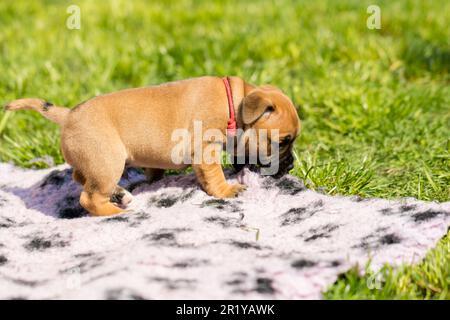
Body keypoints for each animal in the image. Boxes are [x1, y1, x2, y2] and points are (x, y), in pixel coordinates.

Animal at [5, 76, 300, 216]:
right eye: (283, 142)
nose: (291, 166)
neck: (234, 104)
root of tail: (67, 115)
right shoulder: (206, 151)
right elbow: (214, 176)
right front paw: (227, 191)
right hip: (108, 162)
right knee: (88, 197)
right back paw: (116, 212)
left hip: (96, 162)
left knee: (80, 177)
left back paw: (119, 195)